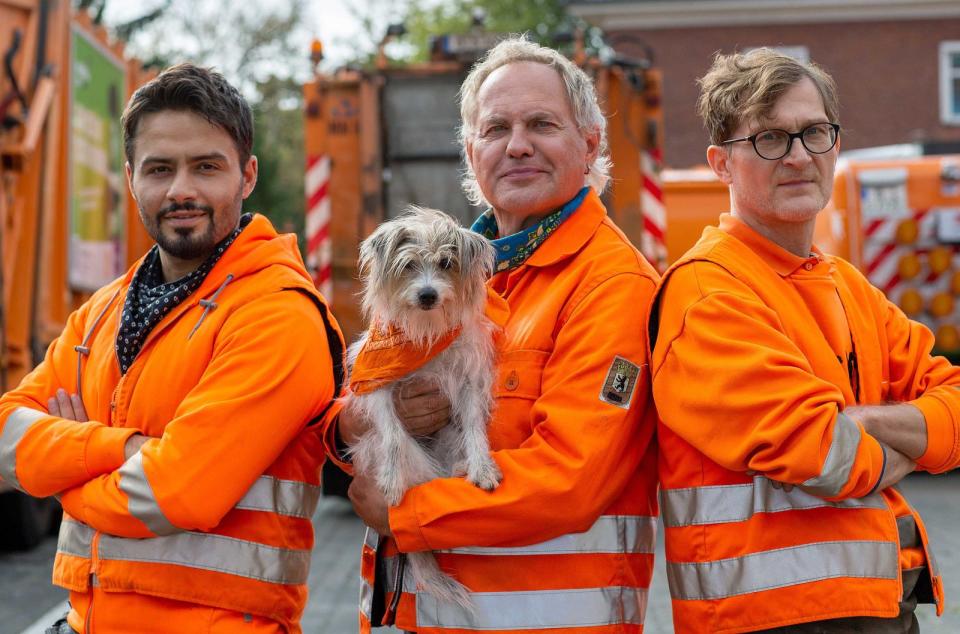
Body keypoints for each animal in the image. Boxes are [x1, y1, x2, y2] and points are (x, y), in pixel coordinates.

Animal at [346, 205, 506, 604]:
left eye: (447, 263)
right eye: (408, 265)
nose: (428, 295)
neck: (425, 331)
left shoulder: (467, 381)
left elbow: (475, 428)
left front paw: (482, 466)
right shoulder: (375, 385)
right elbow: (391, 434)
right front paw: (390, 478)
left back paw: (464, 467)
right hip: (414, 455)